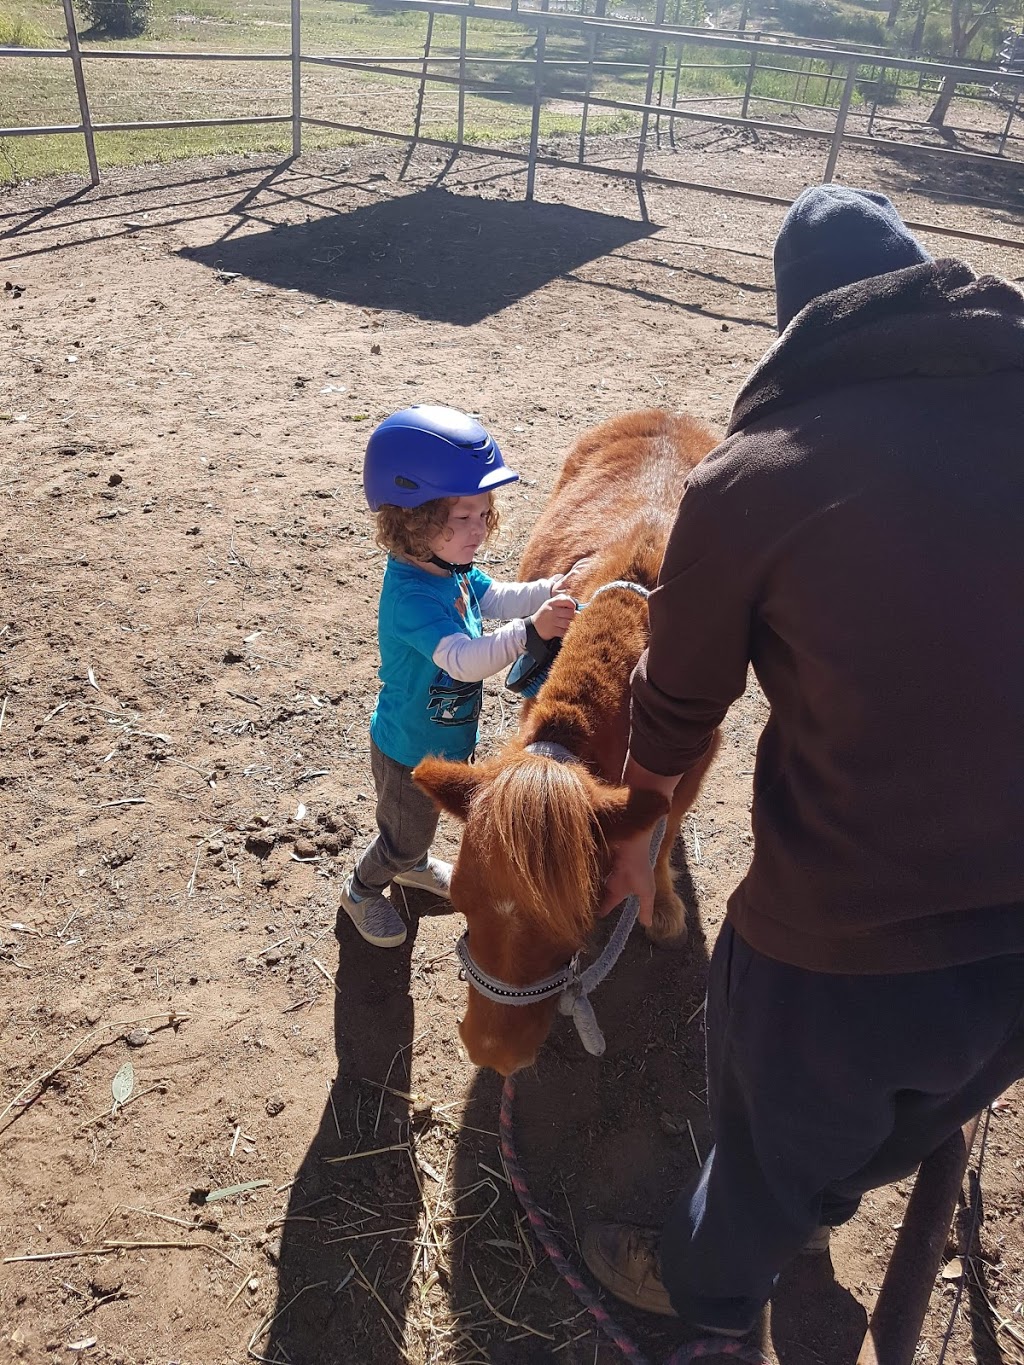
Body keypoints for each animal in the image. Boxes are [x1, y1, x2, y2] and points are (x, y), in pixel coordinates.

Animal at [412, 409, 715, 1070]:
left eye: (576, 923)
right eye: (461, 904)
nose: (494, 1053)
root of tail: (665, 413)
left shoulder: (694, 758)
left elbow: (665, 827)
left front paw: (660, 904)